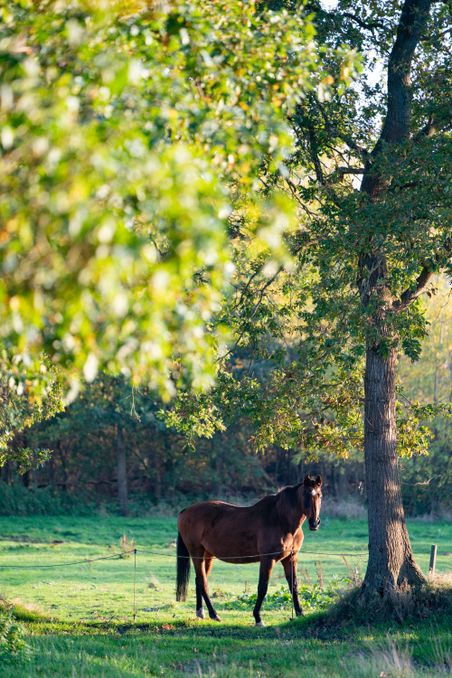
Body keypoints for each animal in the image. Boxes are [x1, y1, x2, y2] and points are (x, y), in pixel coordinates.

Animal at [176, 472, 322, 628]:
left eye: (319, 494)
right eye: (306, 494)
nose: (314, 523)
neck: (280, 519)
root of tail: (185, 511)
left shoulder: (291, 558)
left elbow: (294, 585)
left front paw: (300, 613)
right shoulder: (267, 559)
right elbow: (262, 587)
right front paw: (258, 618)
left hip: (207, 555)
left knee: (199, 580)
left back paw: (201, 613)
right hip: (196, 553)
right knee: (202, 582)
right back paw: (214, 614)